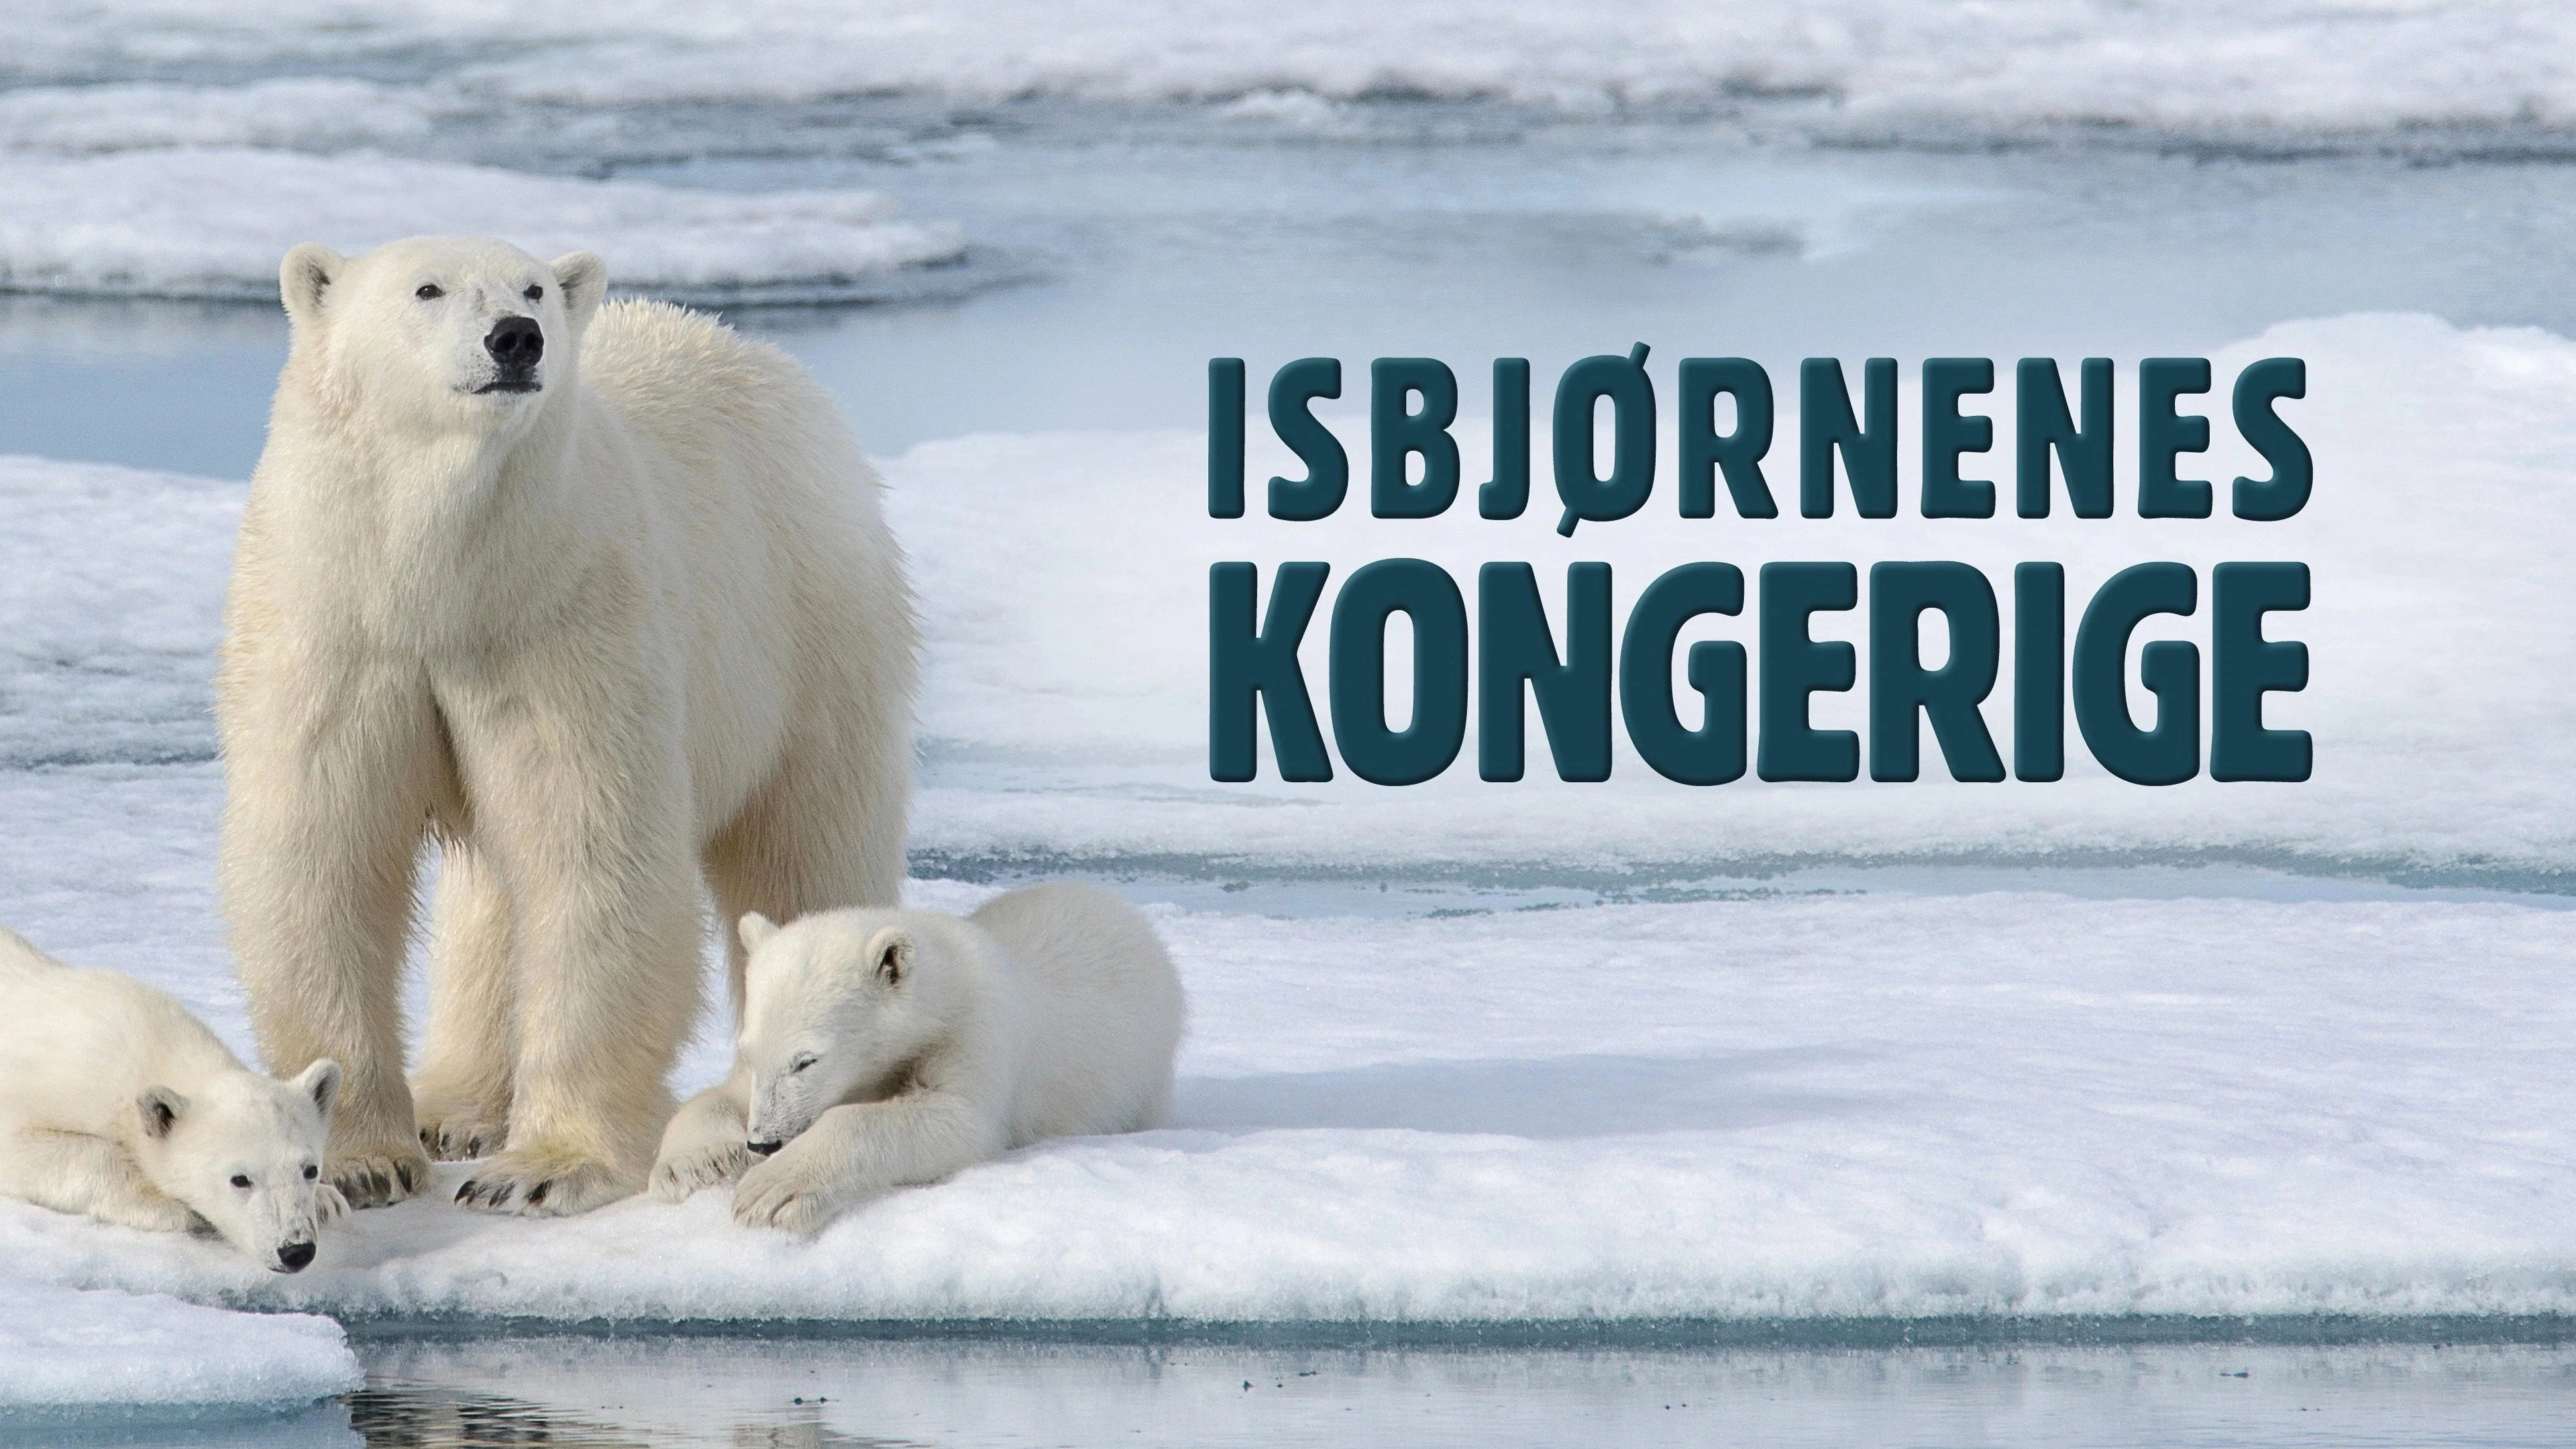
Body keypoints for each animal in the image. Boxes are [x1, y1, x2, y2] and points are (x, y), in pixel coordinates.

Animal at [0, 928, 346, 1272]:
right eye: (240, 1179)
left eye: (310, 1170)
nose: (296, 1250)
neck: (144, 1047)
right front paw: (166, 1206)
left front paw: (328, 1202)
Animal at [218, 236, 915, 1218]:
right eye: (426, 288)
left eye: (534, 286)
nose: (517, 337)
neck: (445, 585)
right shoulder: (340, 632)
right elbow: (324, 856)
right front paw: (361, 1163)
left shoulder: (564, 623)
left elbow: (591, 856)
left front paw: (542, 1169)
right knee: (488, 902)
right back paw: (457, 1108)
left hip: (812, 632)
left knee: (805, 846)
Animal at [650, 883, 1185, 1233]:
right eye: (751, 1053)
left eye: (807, 1061)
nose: (763, 1142)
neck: (943, 988)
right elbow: (716, 1097)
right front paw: (696, 1164)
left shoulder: (975, 1032)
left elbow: (955, 1119)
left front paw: (772, 1190)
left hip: (1145, 1071)